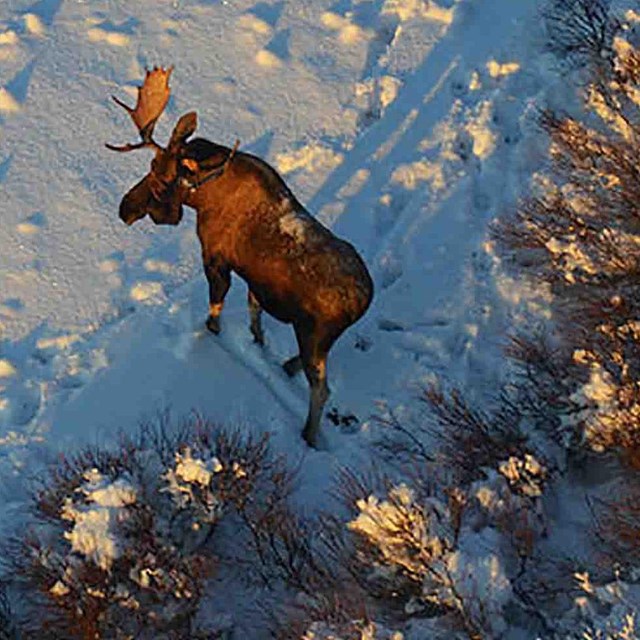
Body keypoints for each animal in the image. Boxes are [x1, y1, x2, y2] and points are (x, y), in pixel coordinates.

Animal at [107, 67, 372, 448]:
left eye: (161, 179)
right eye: (151, 165)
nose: (125, 208)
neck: (202, 198)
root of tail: (365, 300)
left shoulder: (216, 259)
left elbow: (214, 313)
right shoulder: (255, 281)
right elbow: (254, 316)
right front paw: (256, 344)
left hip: (314, 333)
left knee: (322, 389)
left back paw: (308, 435)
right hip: (316, 336)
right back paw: (286, 367)